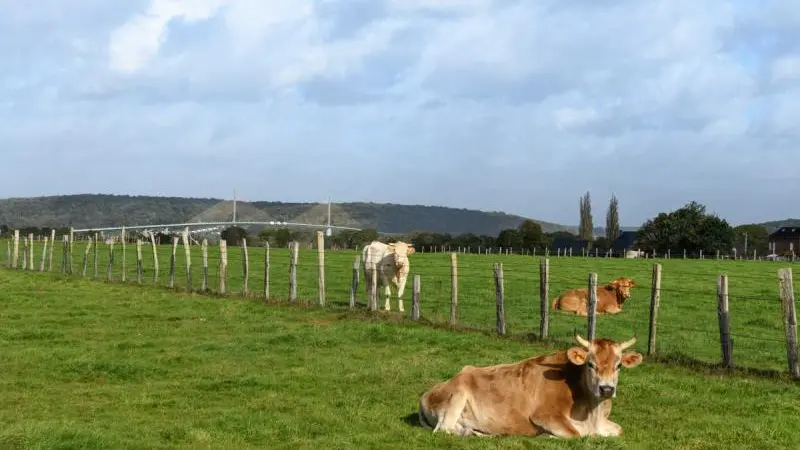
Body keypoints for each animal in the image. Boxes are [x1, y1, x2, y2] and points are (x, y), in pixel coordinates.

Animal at [418, 336, 644, 438]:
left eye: (619, 365)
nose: (606, 389)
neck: (592, 414)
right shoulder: (545, 415)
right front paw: (547, 436)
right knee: (444, 428)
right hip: (459, 391)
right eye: (590, 364)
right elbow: (576, 435)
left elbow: (619, 429)